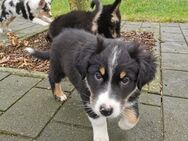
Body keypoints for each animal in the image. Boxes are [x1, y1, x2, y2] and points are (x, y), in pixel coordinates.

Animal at [25, 28, 157, 140]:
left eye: (125, 80)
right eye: (97, 75)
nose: (106, 111)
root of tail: (59, 36)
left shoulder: (133, 92)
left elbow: (134, 117)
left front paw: (122, 124)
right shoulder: (88, 97)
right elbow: (98, 120)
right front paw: (101, 137)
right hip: (58, 66)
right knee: (52, 78)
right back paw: (59, 94)